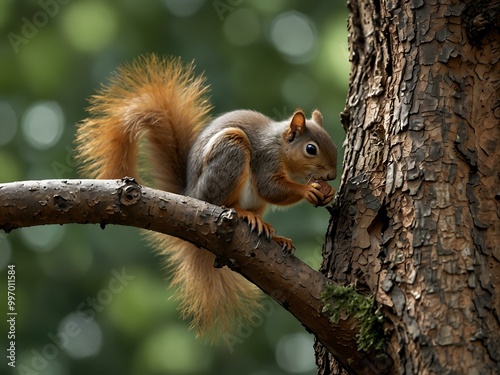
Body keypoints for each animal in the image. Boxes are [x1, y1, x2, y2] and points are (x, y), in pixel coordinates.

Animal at [75, 54, 340, 342]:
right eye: (311, 149)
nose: (332, 175)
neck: (281, 146)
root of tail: (192, 193)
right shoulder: (266, 160)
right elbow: (271, 188)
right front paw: (308, 190)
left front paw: (328, 192)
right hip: (230, 153)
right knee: (222, 202)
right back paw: (244, 215)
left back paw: (272, 233)